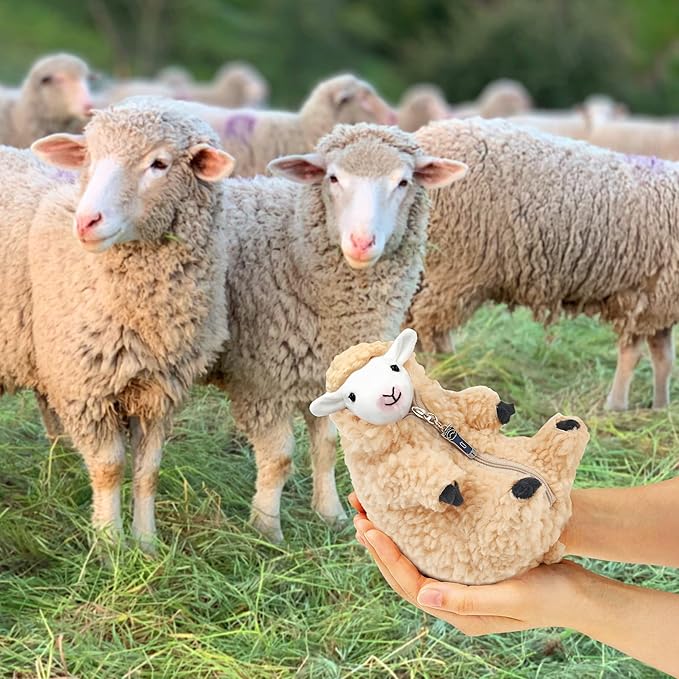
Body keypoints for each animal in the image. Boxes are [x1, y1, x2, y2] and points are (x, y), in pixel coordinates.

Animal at [1, 97, 233, 551]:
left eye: (159, 164)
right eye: (88, 157)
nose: (86, 221)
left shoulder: (160, 391)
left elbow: (148, 472)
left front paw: (147, 545)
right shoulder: (85, 388)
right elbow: (109, 469)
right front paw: (109, 545)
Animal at [204, 123, 467, 542]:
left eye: (403, 181)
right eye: (332, 177)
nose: (361, 242)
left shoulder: (327, 375)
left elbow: (327, 447)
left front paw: (330, 514)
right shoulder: (260, 383)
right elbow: (278, 458)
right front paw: (266, 527)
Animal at [407, 117, 679, 412]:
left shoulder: (658, 302)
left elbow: (663, 359)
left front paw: (661, 407)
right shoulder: (643, 297)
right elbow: (633, 356)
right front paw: (616, 406)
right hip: (454, 267)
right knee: (430, 326)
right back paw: (442, 373)